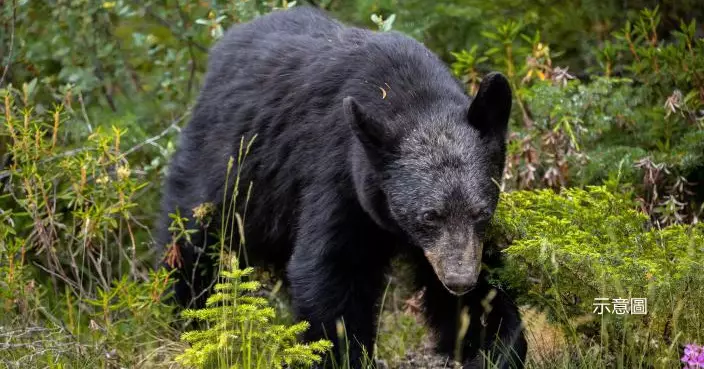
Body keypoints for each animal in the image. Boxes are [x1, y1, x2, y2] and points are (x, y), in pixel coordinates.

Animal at [158, 5, 524, 368]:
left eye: (482, 212)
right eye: (429, 216)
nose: (459, 280)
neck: (410, 95)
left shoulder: (462, 241)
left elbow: (482, 293)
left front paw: (494, 345)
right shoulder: (338, 175)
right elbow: (332, 269)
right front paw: (340, 352)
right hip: (225, 168)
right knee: (189, 243)